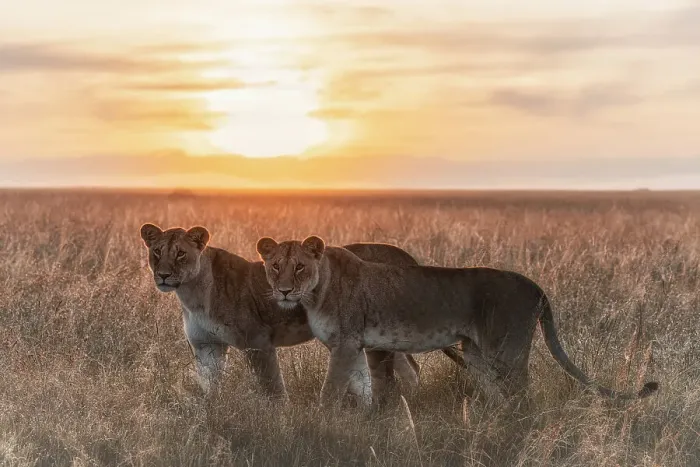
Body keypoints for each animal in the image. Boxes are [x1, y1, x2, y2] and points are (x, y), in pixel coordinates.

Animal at [139, 224, 461, 404]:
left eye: (181, 253)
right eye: (156, 252)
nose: (164, 275)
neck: (192, 293)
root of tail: (402, 254)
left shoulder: (258, 343)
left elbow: (272, 389)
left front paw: (279, 423)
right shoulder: (206, 346)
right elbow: (209, 386)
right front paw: (211, 414)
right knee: (408, 369)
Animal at [256, 235, 659, 407]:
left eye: (299, 266)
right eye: (274, 266)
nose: (285, 291)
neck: (316, 290)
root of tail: (536, 286)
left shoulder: (346, 345)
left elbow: (331, 391)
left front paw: (319, 421)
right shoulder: (357, 346)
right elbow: (364, 388)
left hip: (506, 350)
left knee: (522, 393)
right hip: (476, 353)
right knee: (498, 394)